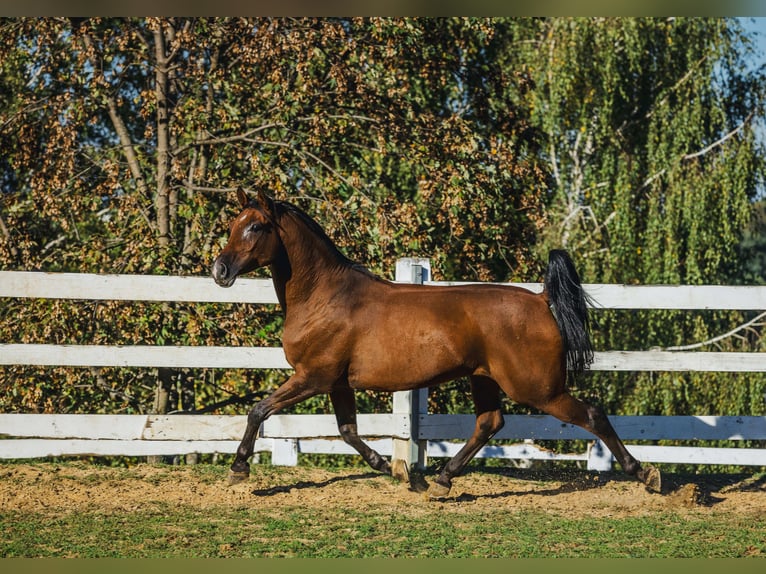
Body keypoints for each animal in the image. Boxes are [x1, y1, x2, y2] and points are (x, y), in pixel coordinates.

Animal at [213, 190, 664, 500]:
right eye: (235, 222)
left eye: (256, 226)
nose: (220, 270)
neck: (325, 297)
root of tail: (542, 300)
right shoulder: (337, 383)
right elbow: (348, 431)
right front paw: (394, 470)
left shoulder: (313, 377)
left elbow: (258, 410)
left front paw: (239, 469)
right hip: (485, 379)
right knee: (489, 423)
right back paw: (441, 480)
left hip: (538, 389)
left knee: (591, 414)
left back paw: (646, 474)